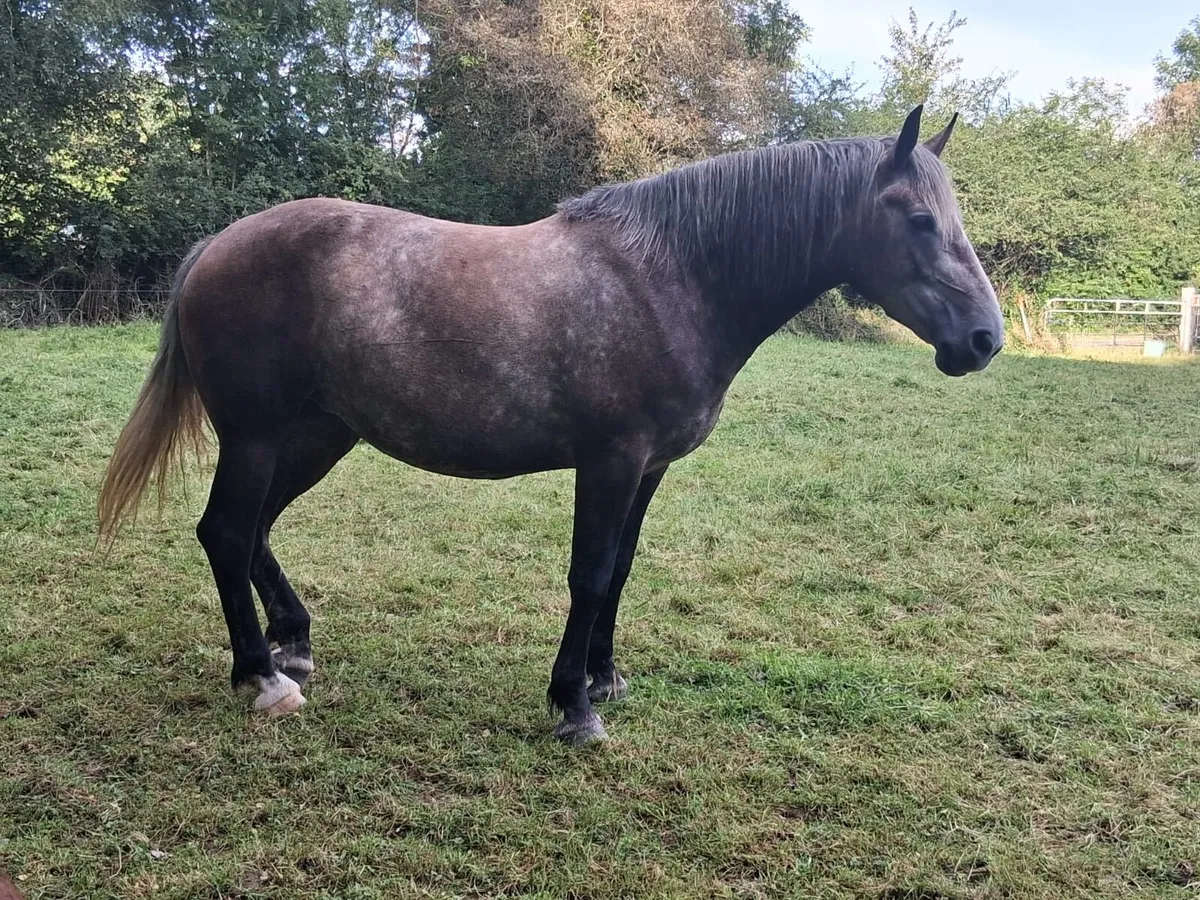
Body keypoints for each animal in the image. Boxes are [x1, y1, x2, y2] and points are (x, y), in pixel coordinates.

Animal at [98, 105, 1003, 745]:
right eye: (918, 219)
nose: (984, 340)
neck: (671, 278)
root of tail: (217, 244)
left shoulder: (649, 469)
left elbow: (624, 571)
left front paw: (604, 679)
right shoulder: (609, 460)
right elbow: (590, 575)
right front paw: (574, 705)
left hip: (319, 435)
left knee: (253, 530)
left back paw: (293, 645)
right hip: (257, 436)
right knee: (225, 531)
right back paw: (263, 678)